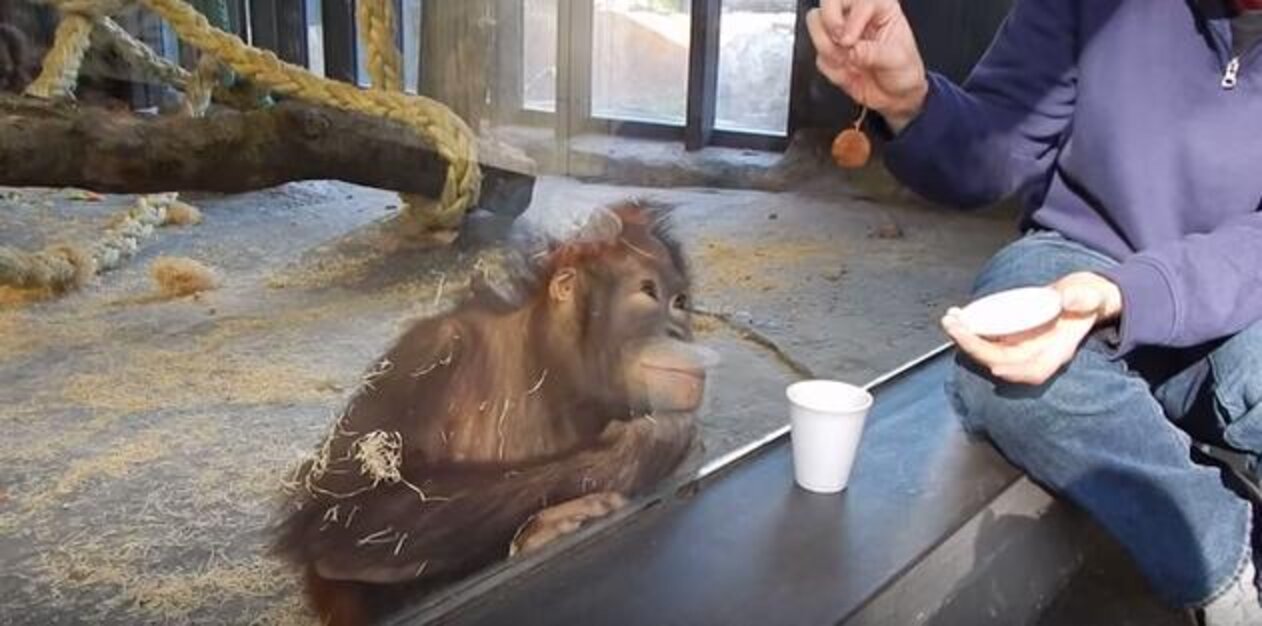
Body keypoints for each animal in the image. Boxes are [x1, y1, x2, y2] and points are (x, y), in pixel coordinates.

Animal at [271, 200, 715, 625]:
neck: (547, 363)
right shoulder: (425, 355)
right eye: (648, 292)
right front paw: (647, 442)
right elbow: (348, 514)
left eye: (680, 303)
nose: (677, 332)